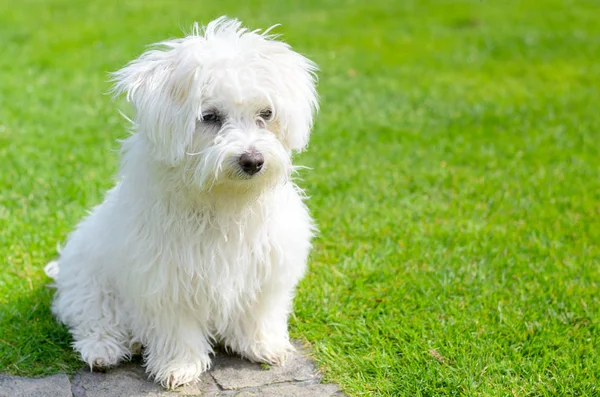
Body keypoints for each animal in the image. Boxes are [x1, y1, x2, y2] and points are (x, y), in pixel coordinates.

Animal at [45, 17, 318, 388]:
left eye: (266, 114)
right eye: (210, 116)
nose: (253, 160)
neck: (223, 197)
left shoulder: (267, 266)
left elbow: (259, 311)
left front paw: (263, 345)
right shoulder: (164, 279)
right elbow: (176, 328)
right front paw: (179, 366)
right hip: (91, 283)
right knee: (93, 317)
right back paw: (104, 349)